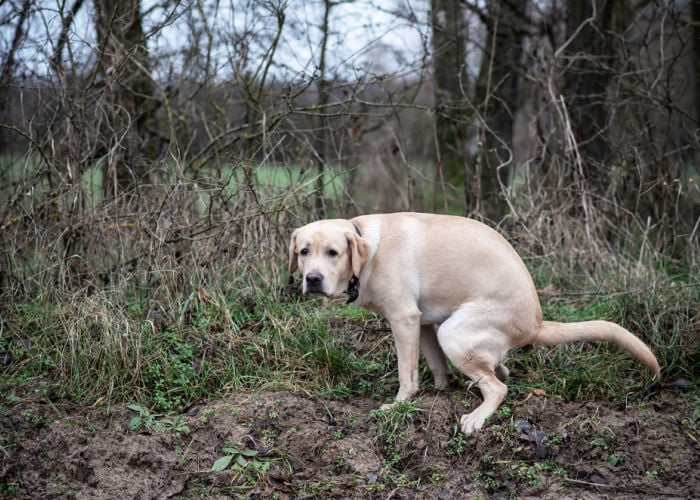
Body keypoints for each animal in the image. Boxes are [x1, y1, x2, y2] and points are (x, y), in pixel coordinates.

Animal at [288, 211, 660, 434]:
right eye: (304, 252)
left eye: (333, 252)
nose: (312, 279)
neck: (367, 255)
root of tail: (537, 322)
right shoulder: (423, 322)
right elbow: (435, 365)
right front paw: (440, 391)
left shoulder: (404, 318)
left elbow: (406, 373)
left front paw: (400, 403)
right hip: (449, 330)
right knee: (498, 370)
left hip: (454, 332)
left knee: (499, 387)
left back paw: (477, 416)